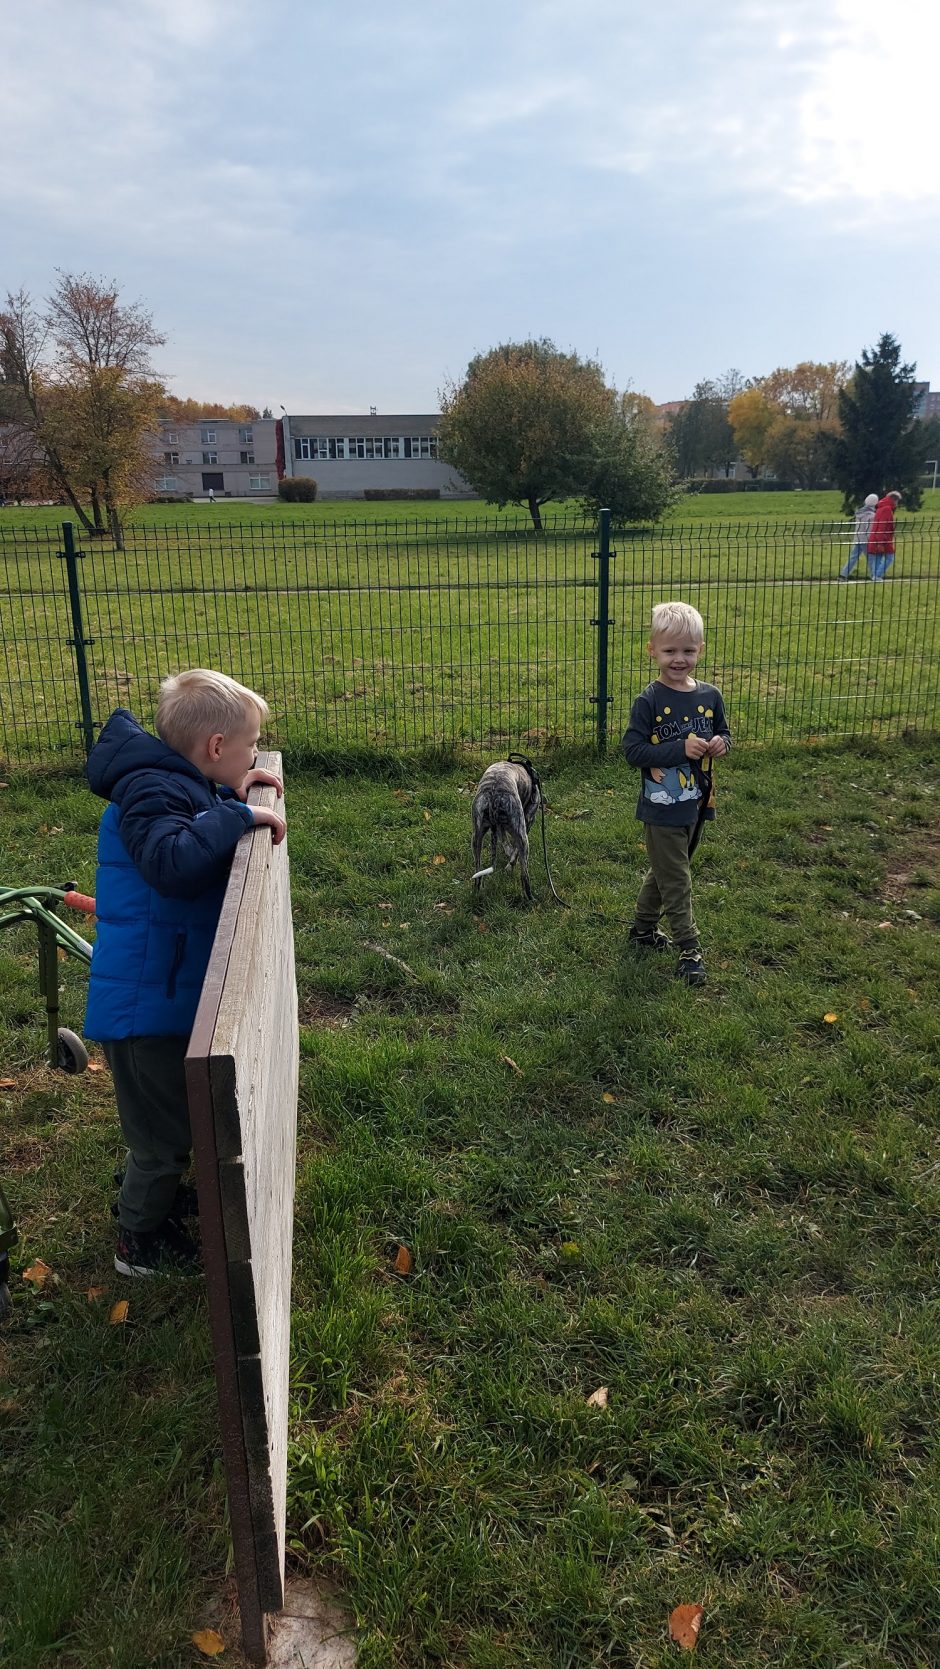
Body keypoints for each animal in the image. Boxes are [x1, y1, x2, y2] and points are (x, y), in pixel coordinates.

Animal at [470, 764, 544, 901]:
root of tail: (493, 796)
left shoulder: (501, 828)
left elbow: (506, 841)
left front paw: (508, 853)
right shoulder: (527, 823)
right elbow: (515, 852)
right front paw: (510, 866)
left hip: (476, 836)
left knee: (478, 873)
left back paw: (477, 892)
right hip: (522, 836)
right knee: (524, 876)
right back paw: (531, 899)